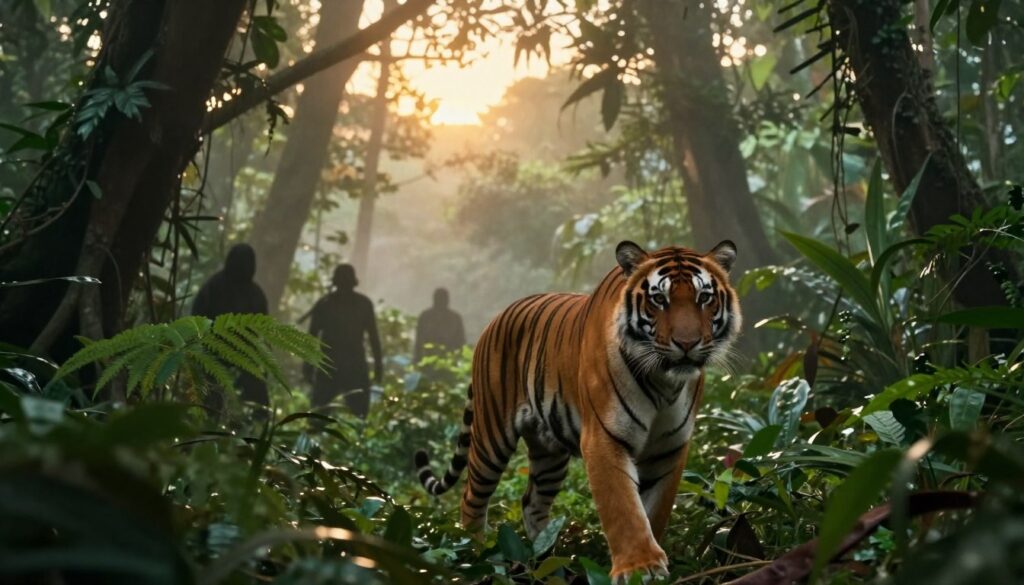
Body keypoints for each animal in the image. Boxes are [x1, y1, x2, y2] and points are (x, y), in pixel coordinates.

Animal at [415, 240, 741, 581]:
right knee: (471, 500)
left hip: (549, 452)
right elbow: (623, 508)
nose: (687, 343)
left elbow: (654, 511)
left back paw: (548, 565)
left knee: (532, 502)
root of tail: (493, 321)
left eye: (704, 298)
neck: (664, 382)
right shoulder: (604, 438)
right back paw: (478, 559)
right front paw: (640, 567)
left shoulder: (669, 448)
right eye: (658, 299)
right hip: (492, 437)